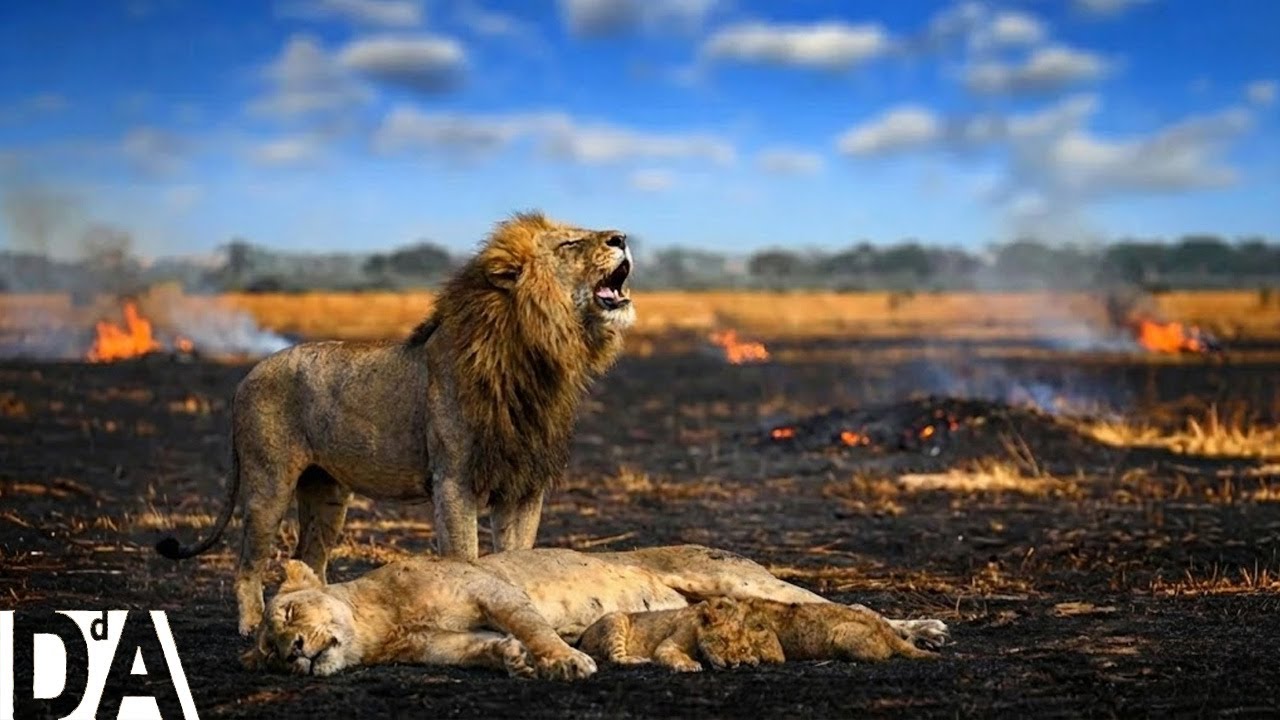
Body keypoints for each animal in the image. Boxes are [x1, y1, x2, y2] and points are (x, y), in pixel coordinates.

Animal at [155, 212, 636, 635]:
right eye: (569, 243)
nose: (623, 237)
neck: (535, 359)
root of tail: (247, 375)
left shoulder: (524, 487)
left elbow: (521, 557)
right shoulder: (453, 480)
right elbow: (464, 557)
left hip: (326, 493)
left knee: (309, 558)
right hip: (268, 482)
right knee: (248, 561)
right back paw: (252, 624)